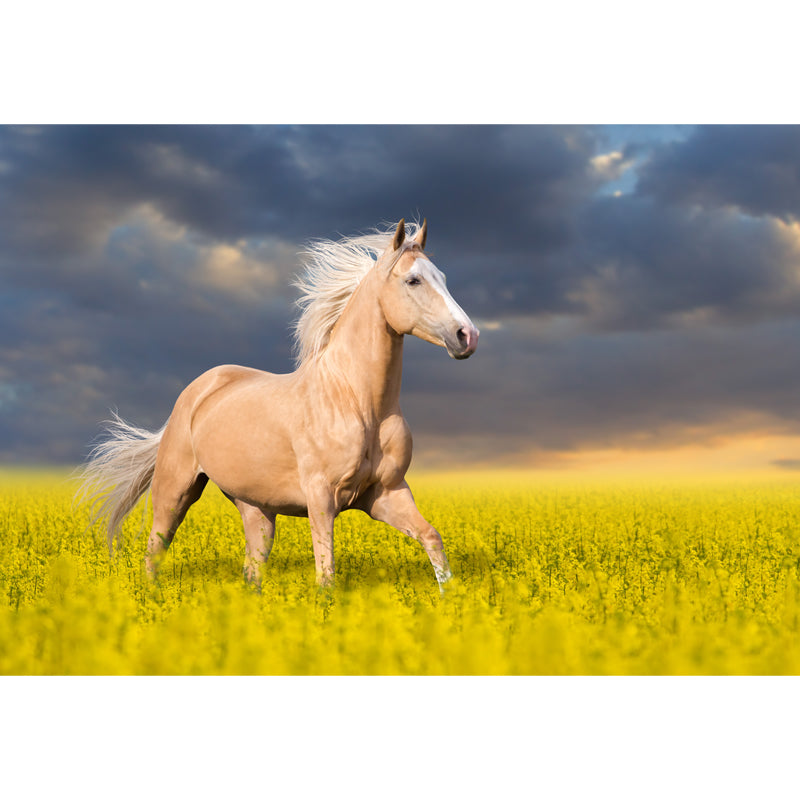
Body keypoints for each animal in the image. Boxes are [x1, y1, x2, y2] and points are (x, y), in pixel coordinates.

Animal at [78, 219, 479, 591]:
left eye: (442, 277)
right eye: (413, 280)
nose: (467, 336)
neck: (357, 402)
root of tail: (196, 391)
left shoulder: (386, 494)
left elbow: (432, 539)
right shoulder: (321, 497)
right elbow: (326, 574)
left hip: (256, 509)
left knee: (252, 568)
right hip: (174, 491)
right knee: (155, 550)